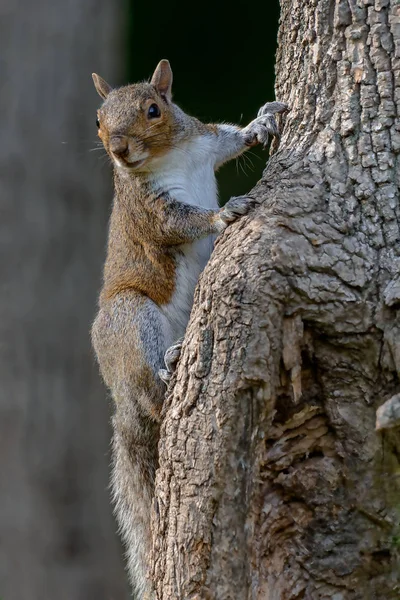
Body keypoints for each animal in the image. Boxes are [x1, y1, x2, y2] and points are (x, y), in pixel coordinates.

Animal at [90, 59, 286, 596]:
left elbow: (230, 139)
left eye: (154, 109)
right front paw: (224, 213)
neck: (168, 157)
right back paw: (170, 363)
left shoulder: (204, 143)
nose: (118, 149)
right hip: (129, 319)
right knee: (152, 390)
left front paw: (261, 122)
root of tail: (120, 398)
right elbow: (181, 223)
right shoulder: (150, 211)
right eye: (98, 120)